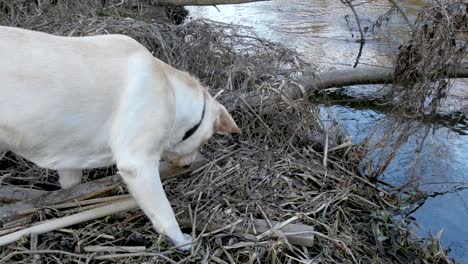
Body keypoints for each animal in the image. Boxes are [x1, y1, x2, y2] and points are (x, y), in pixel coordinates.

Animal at [0, 25, 241, 251]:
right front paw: (182, 241)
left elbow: (71, 184)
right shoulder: (138, 164)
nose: (189, 164)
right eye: (204, 140)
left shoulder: (70, 156)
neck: (171, 92)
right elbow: (165, 214)